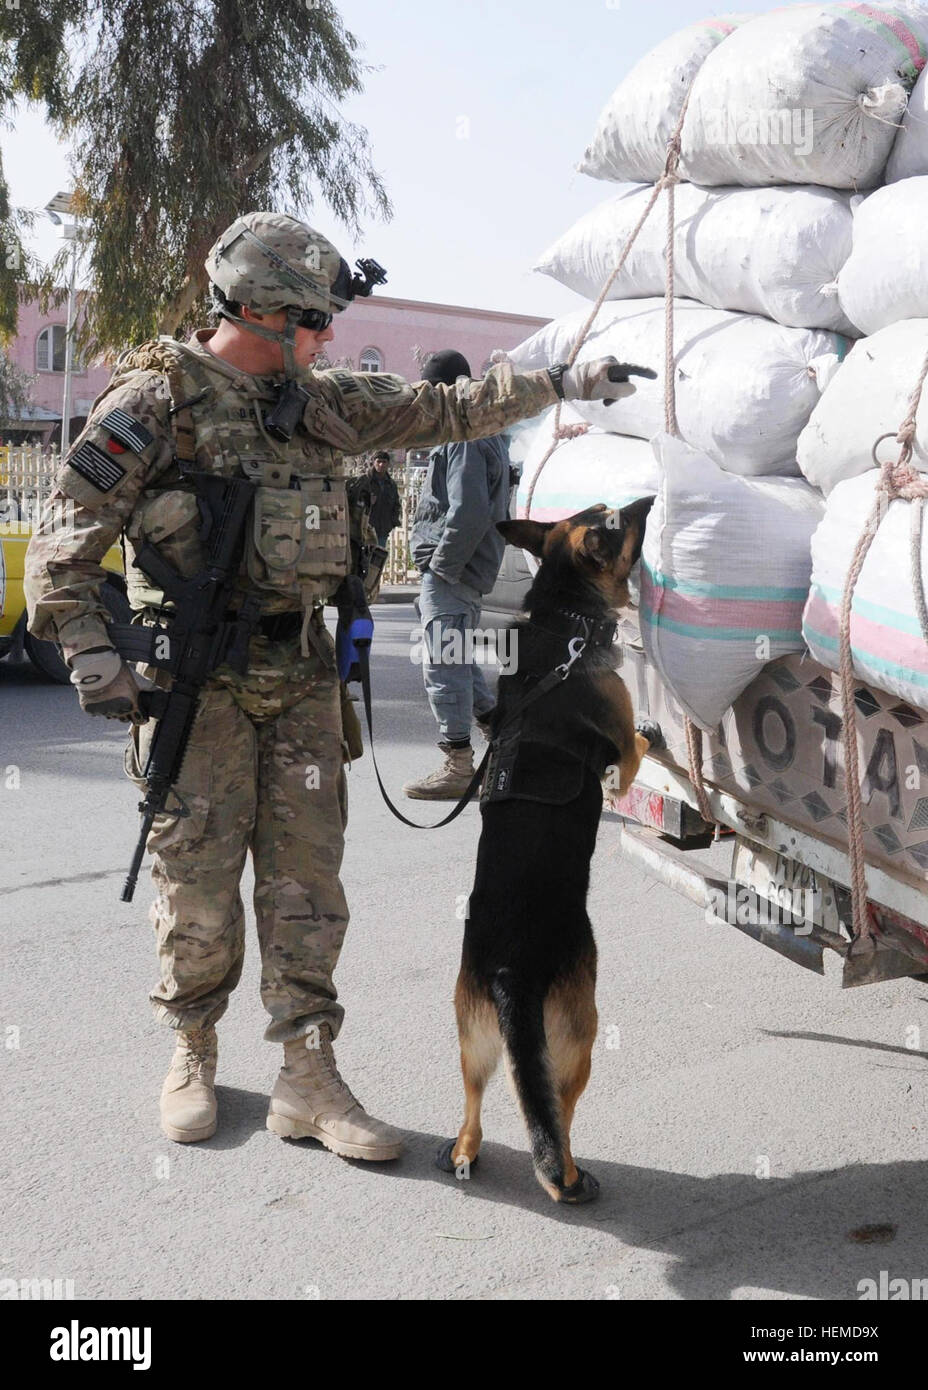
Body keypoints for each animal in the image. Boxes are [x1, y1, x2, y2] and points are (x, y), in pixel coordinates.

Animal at [436, 503, 658, 1206]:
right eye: (616, 524)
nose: (647, 499)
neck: (564, 623)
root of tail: (513, 971)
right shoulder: (625, 755)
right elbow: (641, 745)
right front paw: (656, 732)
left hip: (472, 1036)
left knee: (475, 1102)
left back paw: (464, 1150)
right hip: (579, 1038)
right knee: (558, 1113)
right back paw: (570, 1175)